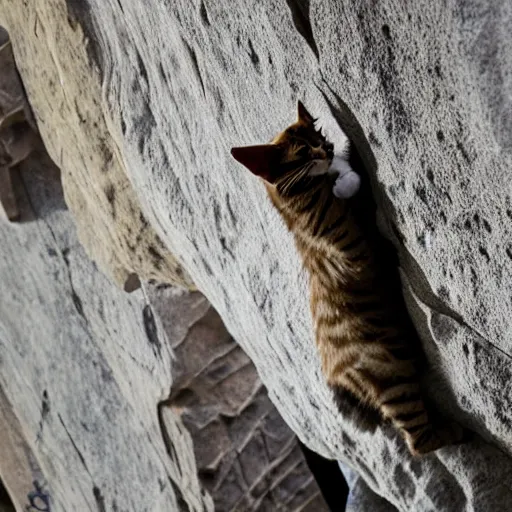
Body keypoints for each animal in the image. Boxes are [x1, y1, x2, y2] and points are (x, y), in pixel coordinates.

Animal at [234, 102, 466, 454]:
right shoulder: (350, 244)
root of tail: (334, 376)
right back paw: (455, 432)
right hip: (392, 379)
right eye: (304, 152)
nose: (327, 148)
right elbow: (350, 192)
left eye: (318, 134)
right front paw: (346, 179)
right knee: (417, 442)